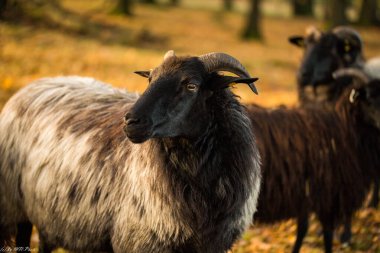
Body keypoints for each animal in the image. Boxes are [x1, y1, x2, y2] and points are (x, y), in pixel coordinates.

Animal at [0, 50, 262, 252]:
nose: (131, 121)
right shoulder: (139, 240)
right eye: (150, 79)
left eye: (191, 85)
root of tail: (36, 84)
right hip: (14, 207)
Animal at [243, 71, 380, 253]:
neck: (344, 129)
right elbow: (326, 232)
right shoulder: (327, 193)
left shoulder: (306, 192)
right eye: (368, 99)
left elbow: (303, 228)